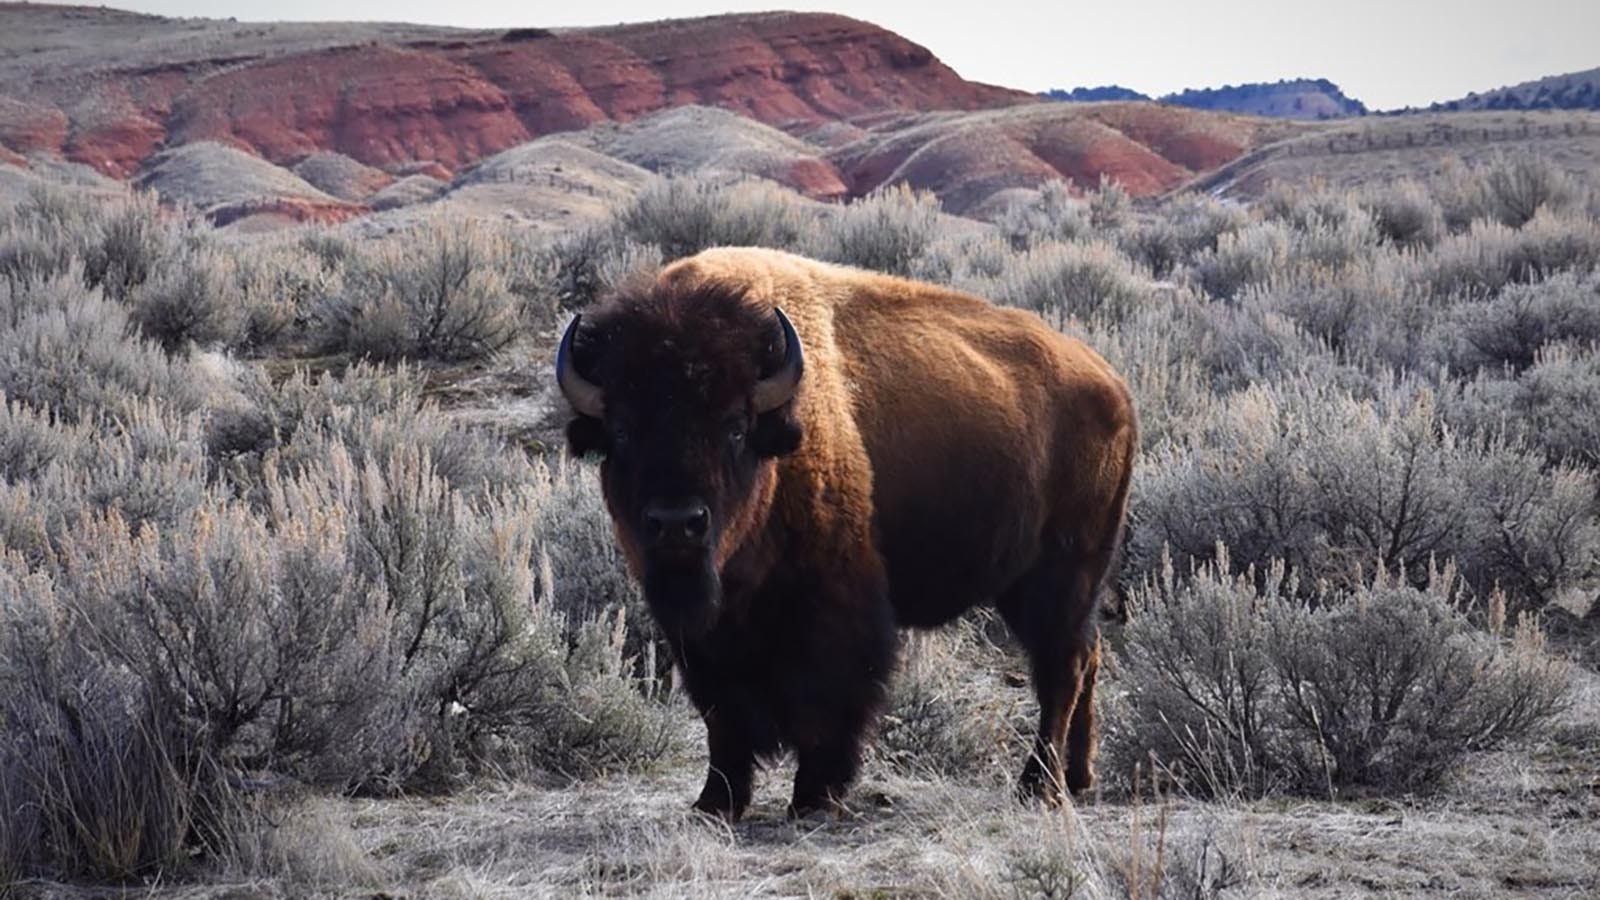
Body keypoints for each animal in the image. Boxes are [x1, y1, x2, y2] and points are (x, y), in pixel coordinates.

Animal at [556, 246, 1132, 819]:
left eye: (735, 427)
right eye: (622, 431)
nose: (677, 524)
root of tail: (1112, 384)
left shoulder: (835, 608)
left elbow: (826, 702)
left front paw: (813, 797)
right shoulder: (706, 635)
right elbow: (722, 715)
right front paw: (716, 801)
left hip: (1061, 576)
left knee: (1062, 668)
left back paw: (1038, 786)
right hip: (1037, 586)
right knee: (1087, 656)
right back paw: (1078, 777)